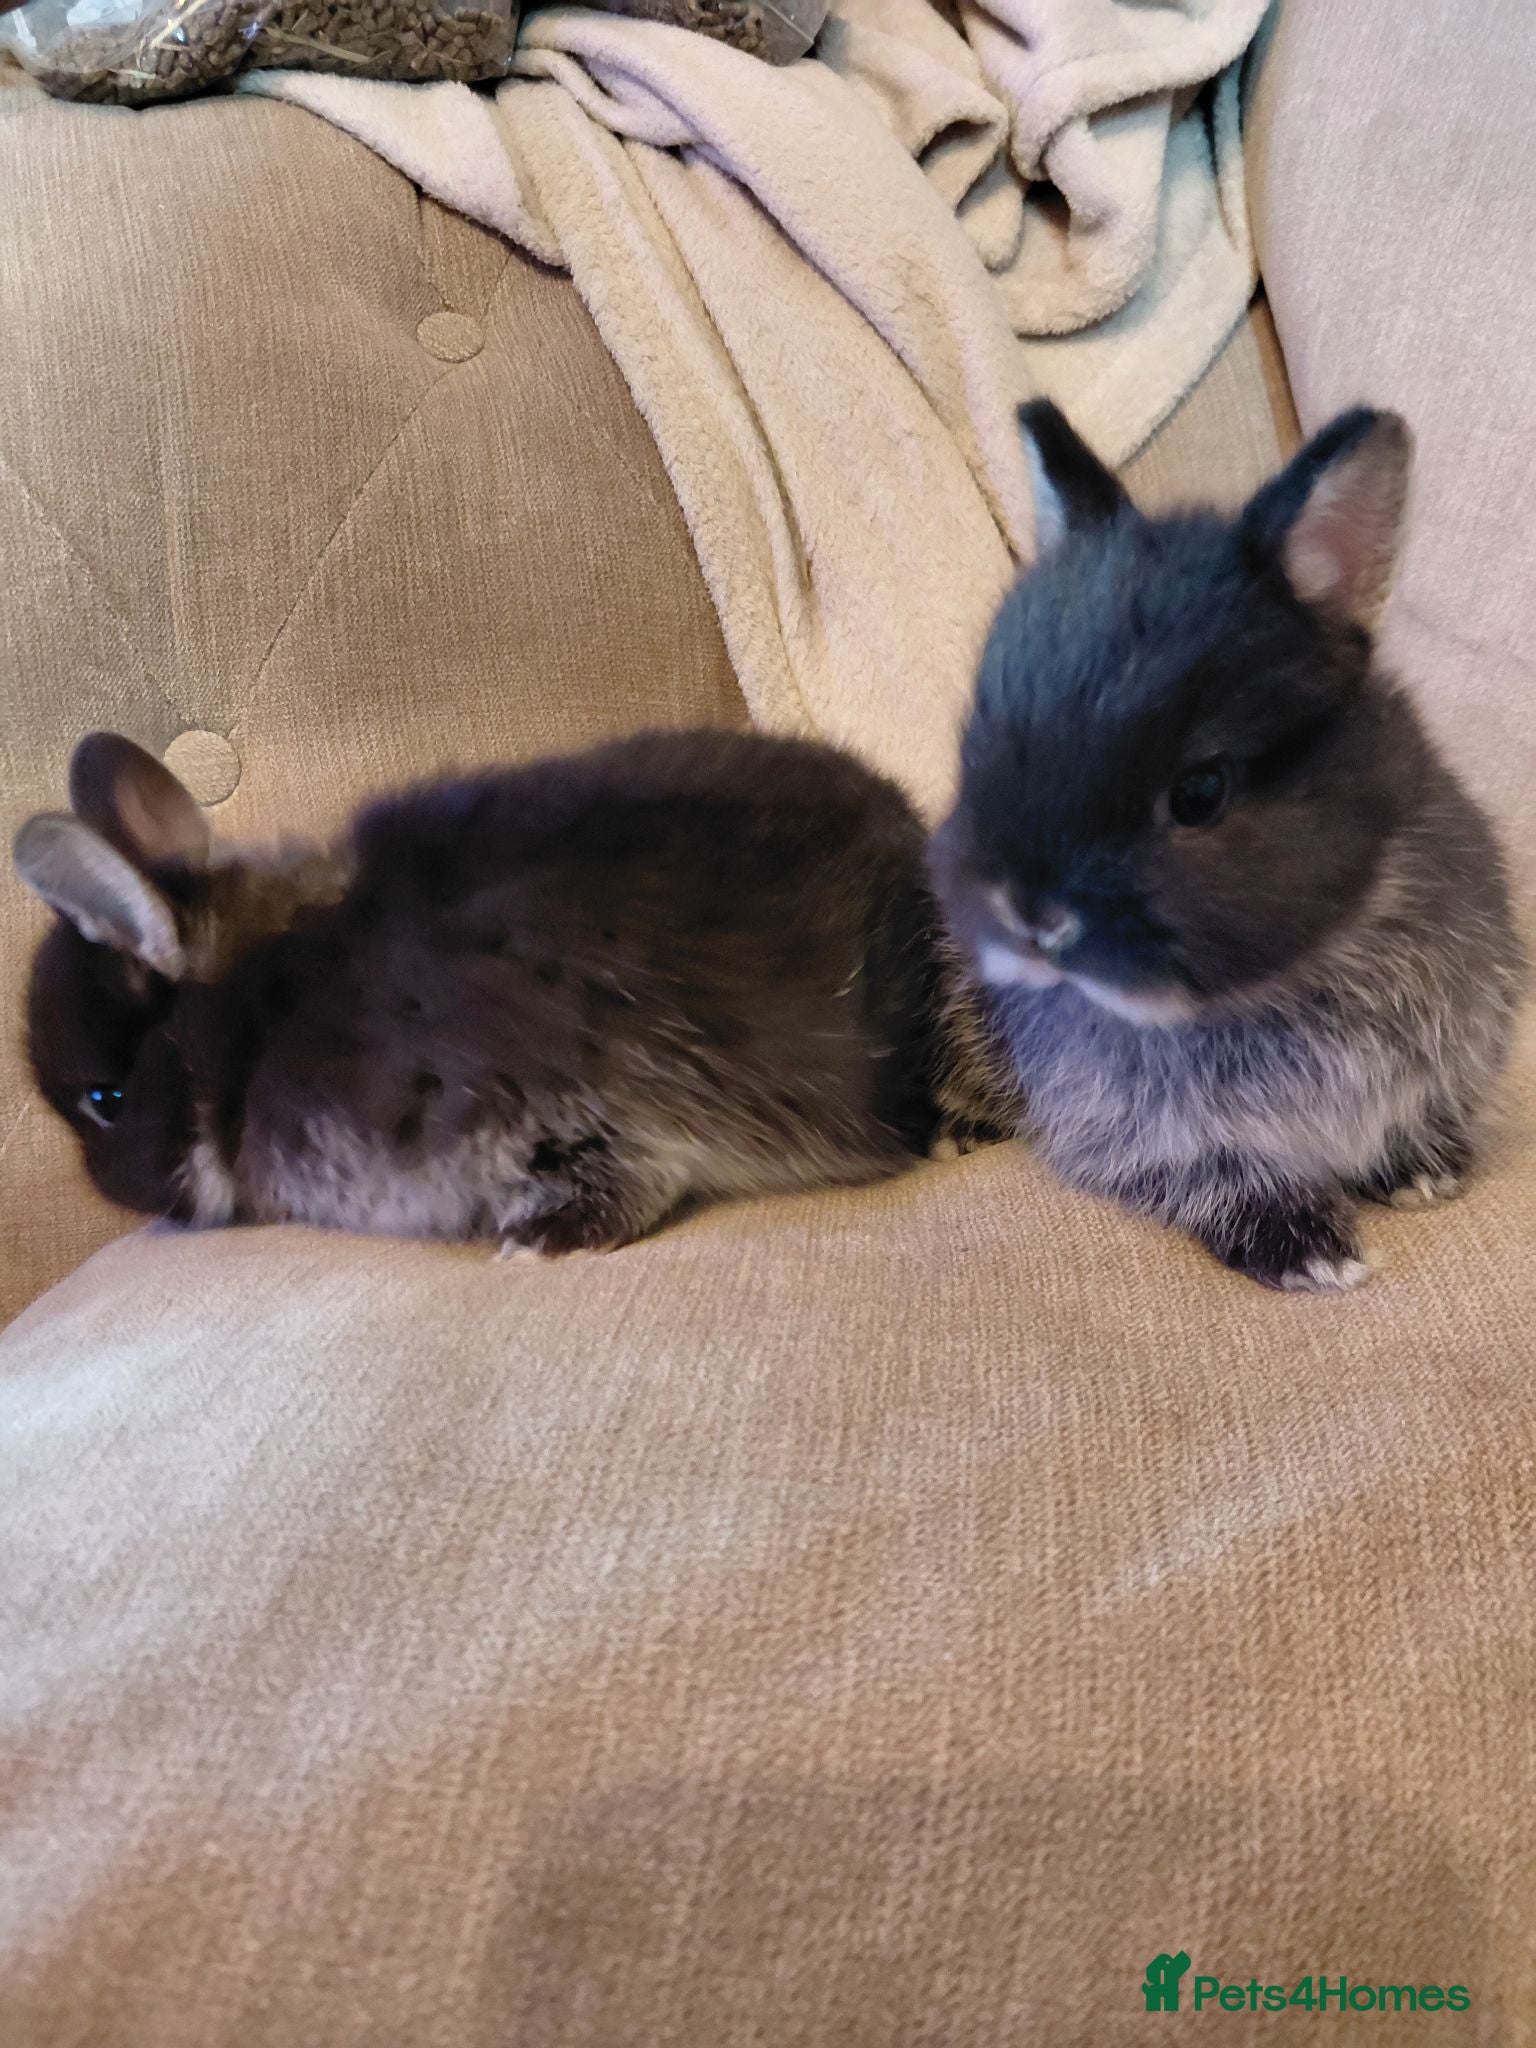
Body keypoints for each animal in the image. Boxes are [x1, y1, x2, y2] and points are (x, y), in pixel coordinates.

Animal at [929, 399, 1525, 1292]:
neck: (1290, 976)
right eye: (981, 749)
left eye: (1200, 792)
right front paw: (1311, 1251)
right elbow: (1213, 1176)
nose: (1030, 919)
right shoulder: (1135, 1129)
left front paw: (1423, 1175)